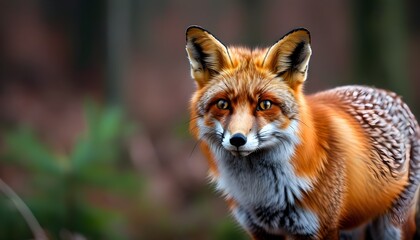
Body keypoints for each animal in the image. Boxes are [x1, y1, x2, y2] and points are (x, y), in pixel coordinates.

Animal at [186, 25, 420, 239]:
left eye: (265, 105)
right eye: (223, 104)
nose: (237, 140)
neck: (261, 197)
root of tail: (387, 92)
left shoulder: (320, 229)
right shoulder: (260, 231)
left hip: (391, 227)